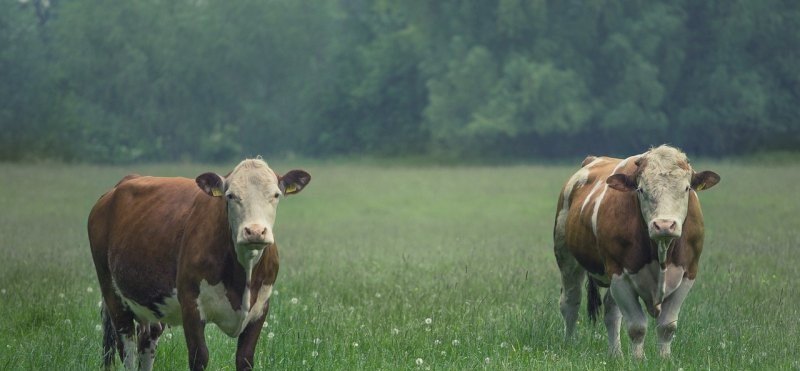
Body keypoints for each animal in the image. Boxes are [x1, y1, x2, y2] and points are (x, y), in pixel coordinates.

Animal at [88, 158, 310, 370]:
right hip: (112, 294)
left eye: (276, 195)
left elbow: (245, 359)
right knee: (127, 347)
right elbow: (199, 357)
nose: (255, 231)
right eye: (230, 195)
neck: (243, 276)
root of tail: (120, 185)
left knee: (147, 339)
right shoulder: (191, 305)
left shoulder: (260, 308)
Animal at [556, 146, 720, 360]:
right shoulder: (619, 275)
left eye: (686, 188)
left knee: (611, 312)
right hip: (566, 257)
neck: (661, 252)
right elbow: (637, 327)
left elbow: (667, 326)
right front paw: (638, 360)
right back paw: (568, 344)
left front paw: (664, 359)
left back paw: (616, 354)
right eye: (641, 190)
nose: (664, 225)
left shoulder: (688, 273)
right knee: (570, 302)